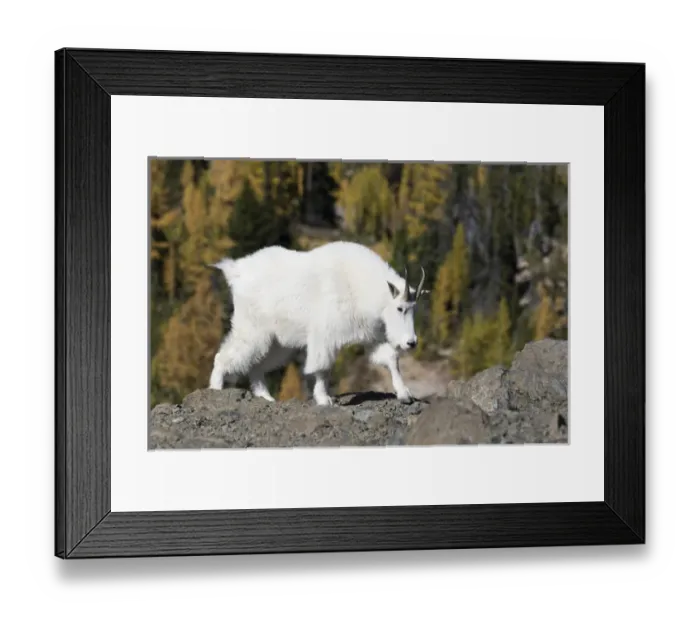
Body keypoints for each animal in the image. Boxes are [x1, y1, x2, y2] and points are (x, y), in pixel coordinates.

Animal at [208, 241, 429, 406]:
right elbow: (322, 367)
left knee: (257, 364)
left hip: (277, 341)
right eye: (400, 308)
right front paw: (324, 399)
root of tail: (236, 271)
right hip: (253, 328)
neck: (358, 286)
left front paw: (405, 394)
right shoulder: (325, 335)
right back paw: (216, 389)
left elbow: (390, 358)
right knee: (225, 356)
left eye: (414, 309)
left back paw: (266, 397)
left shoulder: (370, 336)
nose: (411, 342)